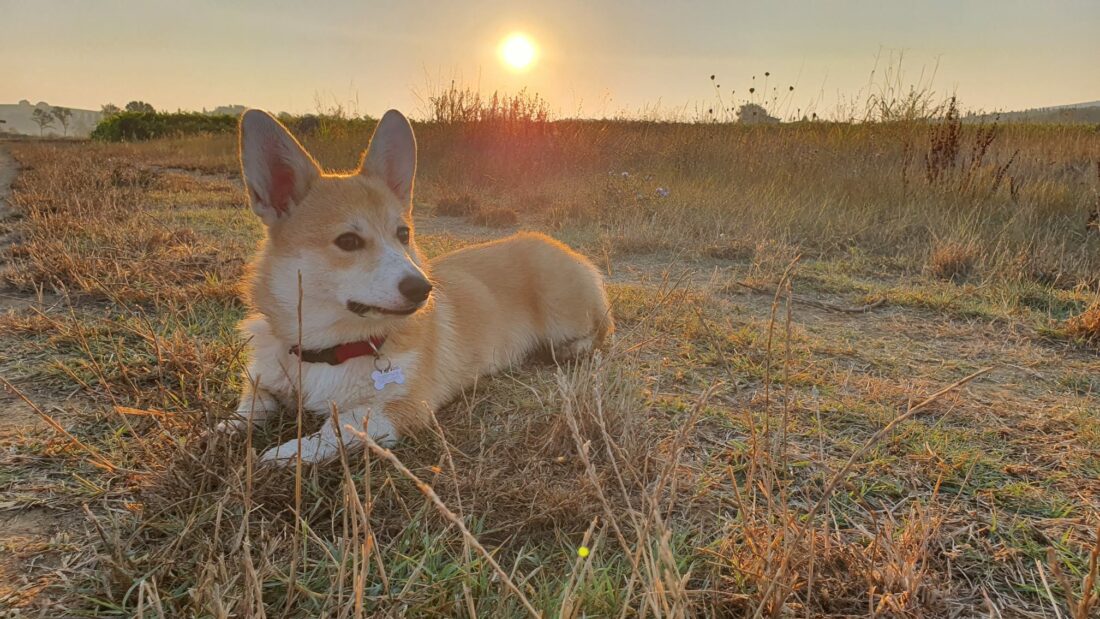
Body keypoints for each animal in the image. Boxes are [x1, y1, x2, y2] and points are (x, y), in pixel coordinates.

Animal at [218, 108, 616, 461]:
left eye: (403, 234)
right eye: (348, 241)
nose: (422, 289)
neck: (329, 350)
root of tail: (557, 244)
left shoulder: (400, 409)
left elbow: (338, 428)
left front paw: (282, 454)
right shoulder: (263, 380)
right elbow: (249, 408)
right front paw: (223, 431)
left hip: (562, 310)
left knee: (599, 334)